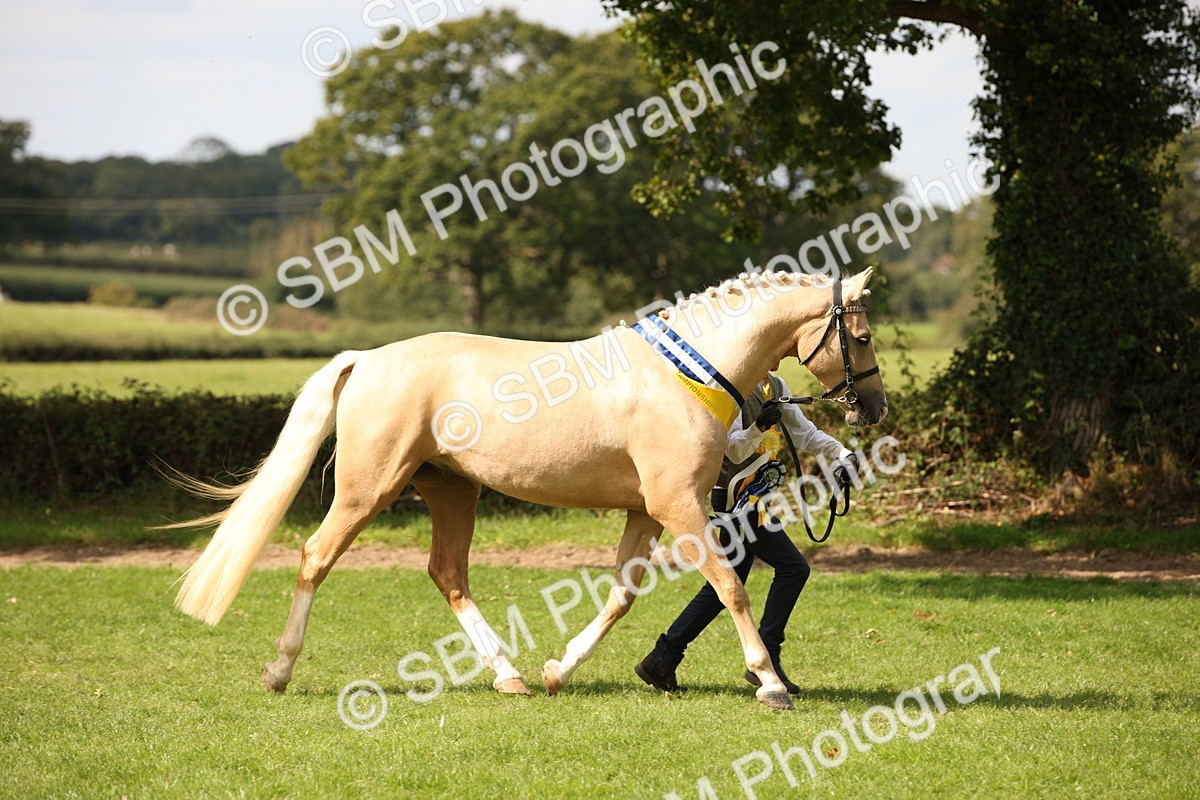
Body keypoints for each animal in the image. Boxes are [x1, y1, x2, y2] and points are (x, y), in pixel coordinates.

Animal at [169, 267, 887, 711]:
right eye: (860, 335)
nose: (874, 408)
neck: (687, 374)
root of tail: (366, 359)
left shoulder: (646, 512)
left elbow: (621, 596)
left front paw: (557, 671)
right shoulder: (677, 507)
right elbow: (730, 588)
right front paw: (769, 683)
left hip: (452, 491)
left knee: (448, 573)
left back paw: (510, 676)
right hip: (367, 490)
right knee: (316, 557)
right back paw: (280, 671)